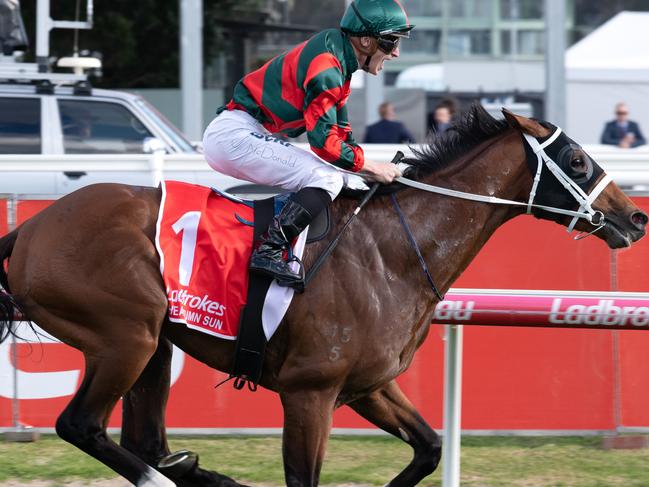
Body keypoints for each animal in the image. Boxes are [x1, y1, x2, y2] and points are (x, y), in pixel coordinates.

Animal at [0, 107, 644, 487]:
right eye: (578, 160)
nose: (634, 218)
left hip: (156, 339)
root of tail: (29, 229)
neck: (395, 252)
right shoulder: (309, 394)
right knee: (82, 424)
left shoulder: (367, 386)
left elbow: (430, 447)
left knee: (144, 439)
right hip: (124, 335)